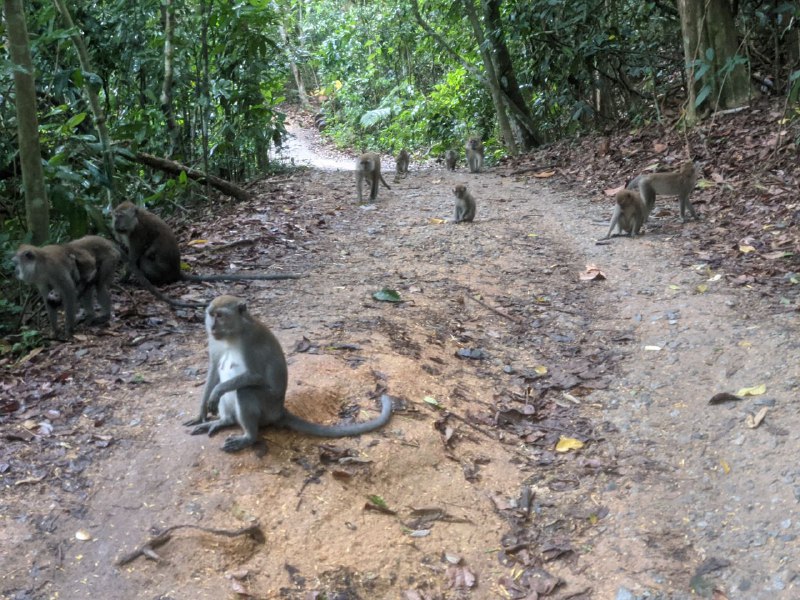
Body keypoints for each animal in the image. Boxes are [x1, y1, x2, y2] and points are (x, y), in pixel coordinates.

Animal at [111, 202, 300, 308]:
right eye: (115, 216)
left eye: (120, 216)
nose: (114, 225)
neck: (135, 220)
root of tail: (176, 272)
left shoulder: (138, 233)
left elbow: (134, 258)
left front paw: (125, 278)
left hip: (159, 270)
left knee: (144, 260)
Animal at [184, 295, 393, 452]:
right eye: (211, 315)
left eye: (220, 315)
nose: (212, 327)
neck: (233, 334)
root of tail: (279, 411)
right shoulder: (215, 341)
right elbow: (214, 369)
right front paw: (201, 412)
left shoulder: (251, 341)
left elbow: (256, 376)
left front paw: (217, 391)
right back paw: (225, 421)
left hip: (267, 408)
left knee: (246, 390)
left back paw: (249, 437)